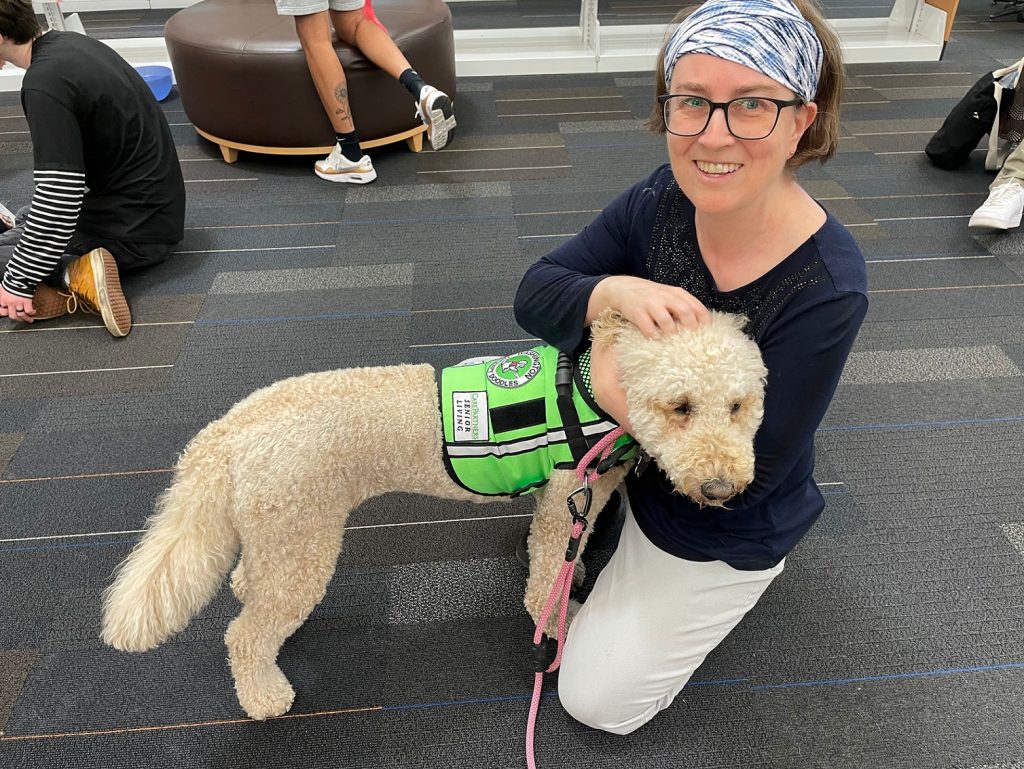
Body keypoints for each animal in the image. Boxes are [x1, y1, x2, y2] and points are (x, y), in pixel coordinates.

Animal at [101, 311, 770, 720]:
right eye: (680, 406)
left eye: (739, 405)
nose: (721, 486)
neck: (587, 393)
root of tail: (226, 433)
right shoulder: (564, 499)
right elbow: (546, 575)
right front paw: (557, 619)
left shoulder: (586, 493)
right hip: (302, 536)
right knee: (245, 634)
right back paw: (263, 694)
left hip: (281, 531)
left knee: (252, 583)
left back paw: (244, 587)